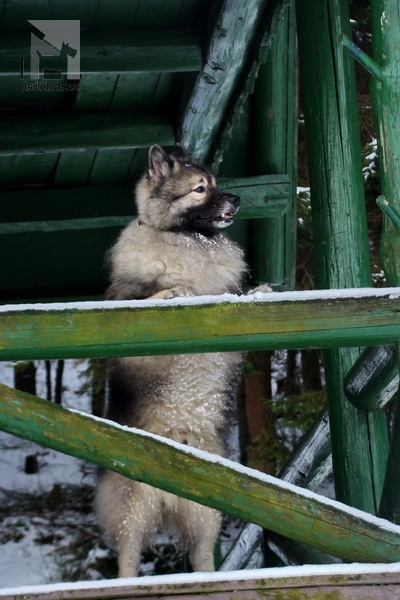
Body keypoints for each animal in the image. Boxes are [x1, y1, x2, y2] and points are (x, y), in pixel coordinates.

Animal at [96, 144, 264, 576]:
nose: (236, 199)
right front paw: (173, 291)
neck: (187, 241)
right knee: (128, 557)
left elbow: (237, 297)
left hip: (206, 513)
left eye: (217, 184)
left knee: (202, 554)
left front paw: (261, 291)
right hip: (133, 507)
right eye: (200, 189)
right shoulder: (122, 311)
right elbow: (152, 295)